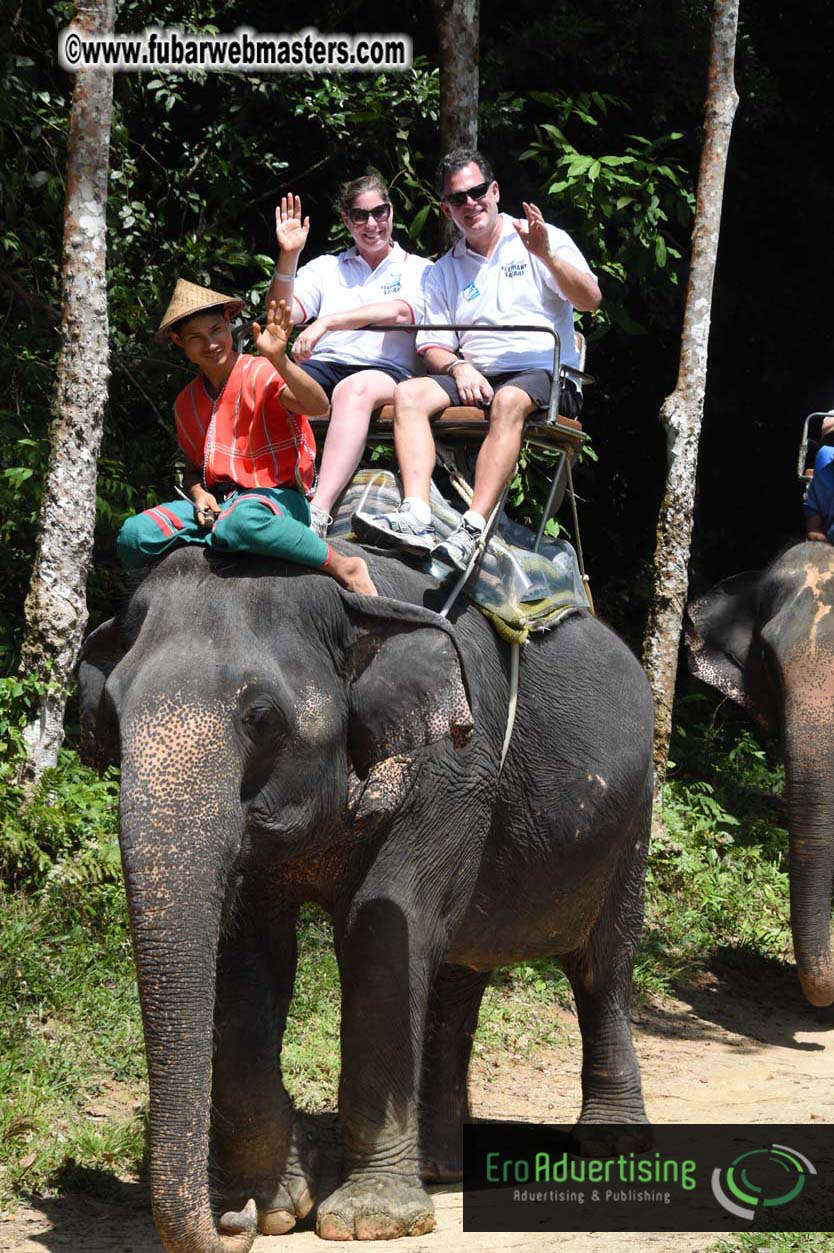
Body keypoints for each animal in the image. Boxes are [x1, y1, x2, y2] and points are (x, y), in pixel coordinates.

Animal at [78, 540, 653, 1252]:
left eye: (262, 718)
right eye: (111, 718)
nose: (230, 1222)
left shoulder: (454, 768)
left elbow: (384, 924)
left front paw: (368, 1220)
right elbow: (248, 952)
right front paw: (273, 1209)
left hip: (633, 819)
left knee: (602, 967)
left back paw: (610, 1147)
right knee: (458, 977)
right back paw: (440, 1167)